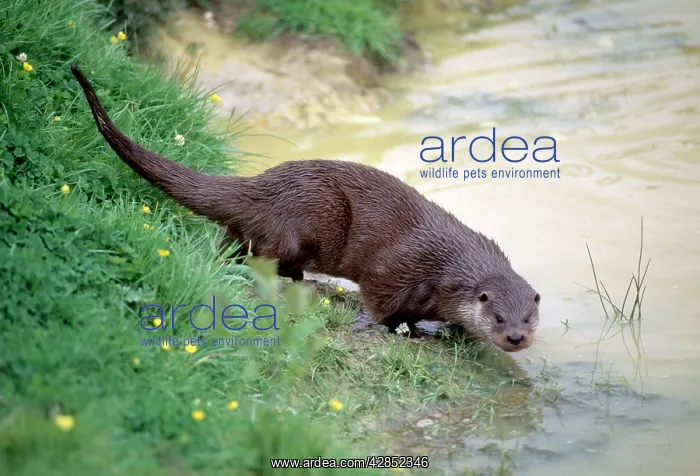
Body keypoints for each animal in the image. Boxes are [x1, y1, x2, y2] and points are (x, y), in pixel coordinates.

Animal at [70, 64, 540, 352]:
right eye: (499, 317)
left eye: (529, 318)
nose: (516, 338)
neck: (449, 268)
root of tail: (261, 186)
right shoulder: (396, 270)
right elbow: (381, 304)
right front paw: (408, 331)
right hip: (313, 213)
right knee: (265, 255)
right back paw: (297, 278)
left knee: (230, 242)